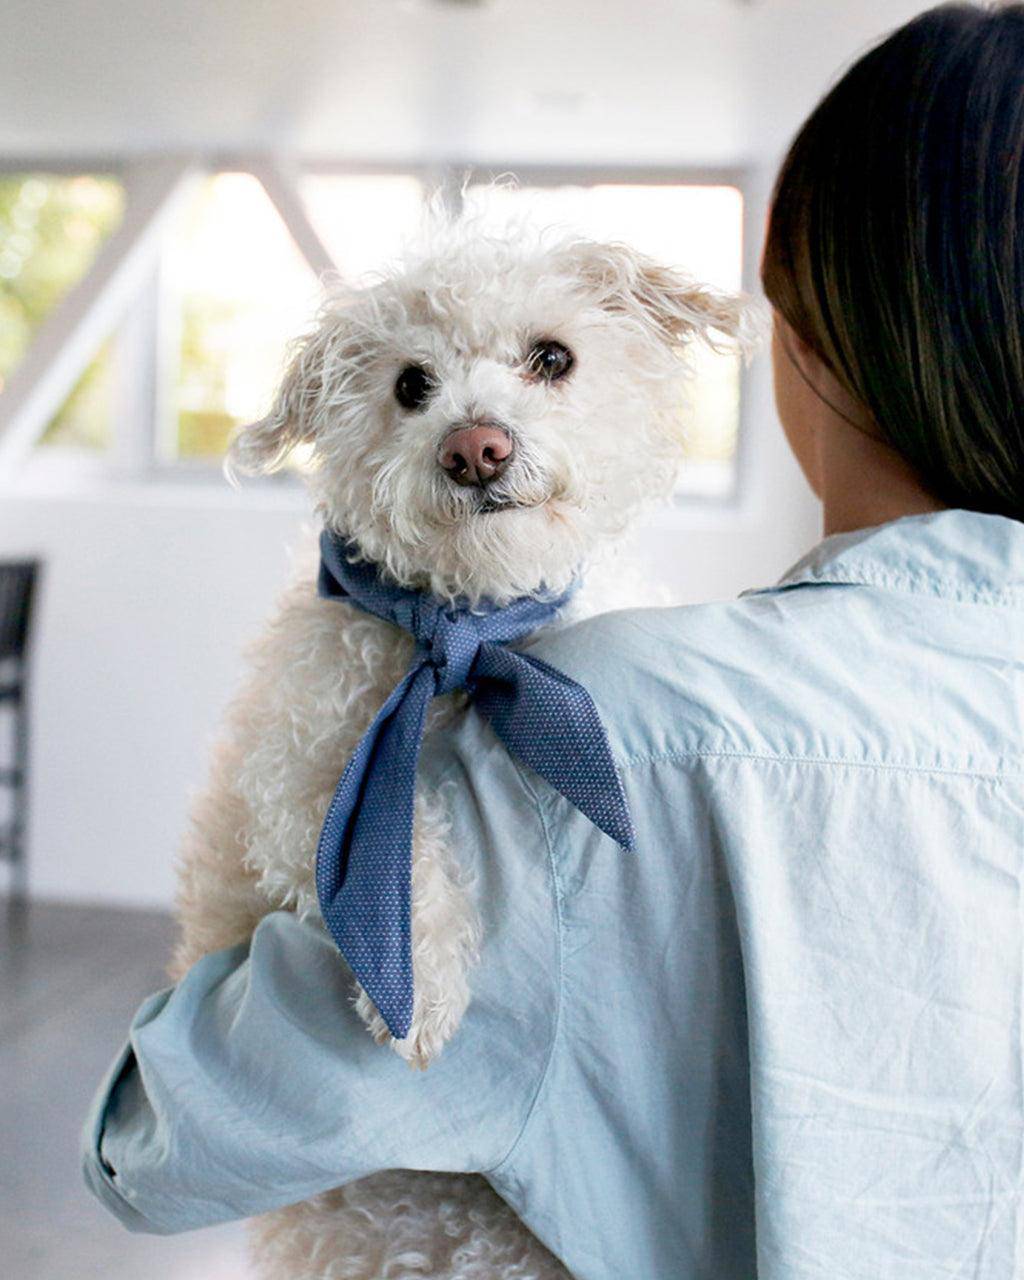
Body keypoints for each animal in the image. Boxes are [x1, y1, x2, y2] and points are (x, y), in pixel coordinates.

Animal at [171, 215, 757, 1274]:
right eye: (411, 384)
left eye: (552, 358)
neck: (466, 628)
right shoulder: (294, 774)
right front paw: (424, 988)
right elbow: (391, 848)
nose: (475, 447)